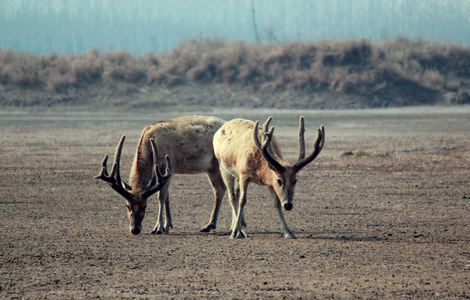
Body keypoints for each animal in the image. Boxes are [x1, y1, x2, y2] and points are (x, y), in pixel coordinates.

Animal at [95, 115, 237, 234]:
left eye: (145, 205)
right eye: (127, 205)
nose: (135, 229)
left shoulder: (167, 168)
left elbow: (161, 197)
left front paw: (158, 228)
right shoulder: (165, 174)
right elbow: (167, 196)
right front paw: (167, 225)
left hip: (220, 164)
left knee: (226, 189)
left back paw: (228, 226)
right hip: (211, 167)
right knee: (220, 189)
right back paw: (212, 225)